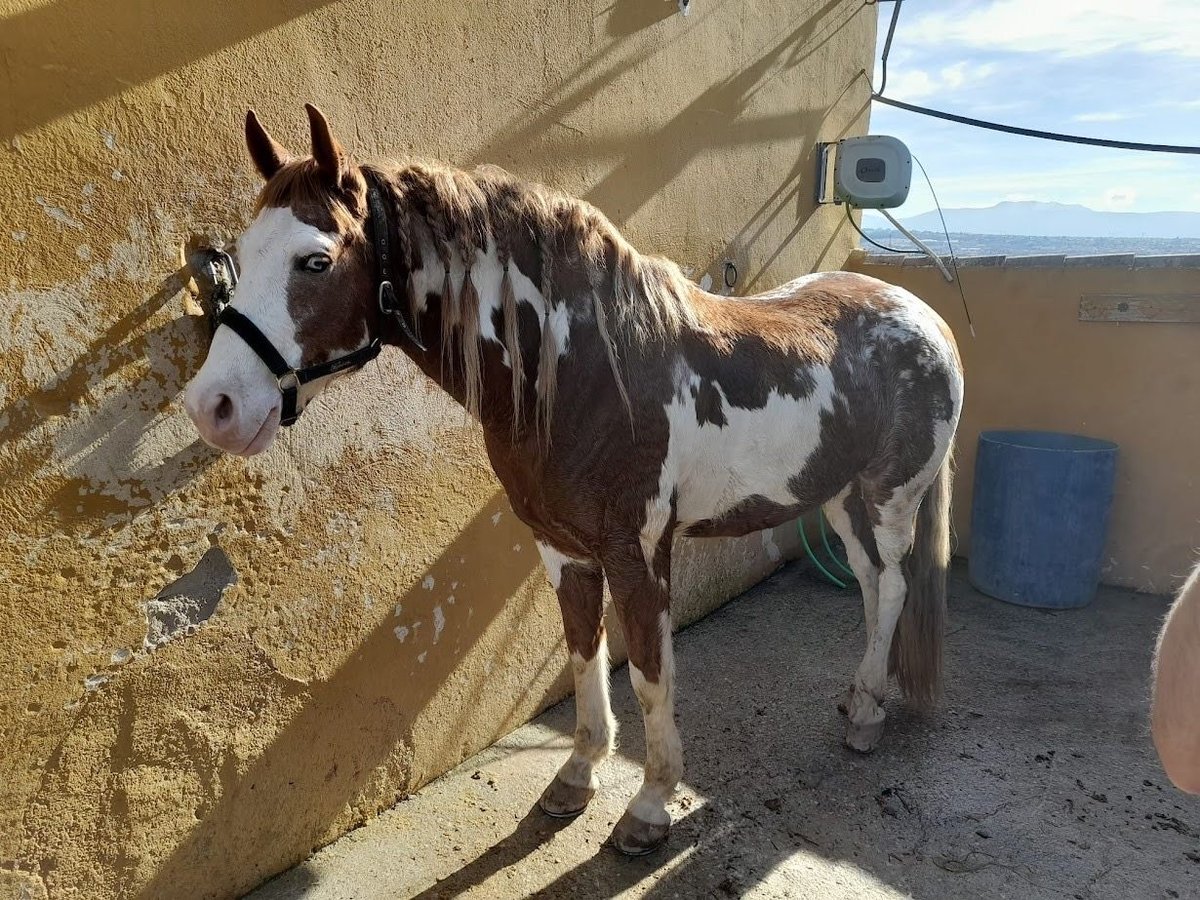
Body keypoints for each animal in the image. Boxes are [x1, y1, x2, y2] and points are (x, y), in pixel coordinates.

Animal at [183, 105, 964, 855]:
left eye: (314, 260)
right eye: (237, 257)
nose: (214, 406)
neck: (587, 370)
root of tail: (922, 314)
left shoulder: (639, 555)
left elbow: (649, 674)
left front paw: (649, 808)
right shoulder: (563, 551)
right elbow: (584, 654)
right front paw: (578, 776)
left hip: (890, 498)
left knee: (894, 585)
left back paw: (866, 718)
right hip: (837, 497)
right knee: (870, 586)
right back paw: (864, 698)